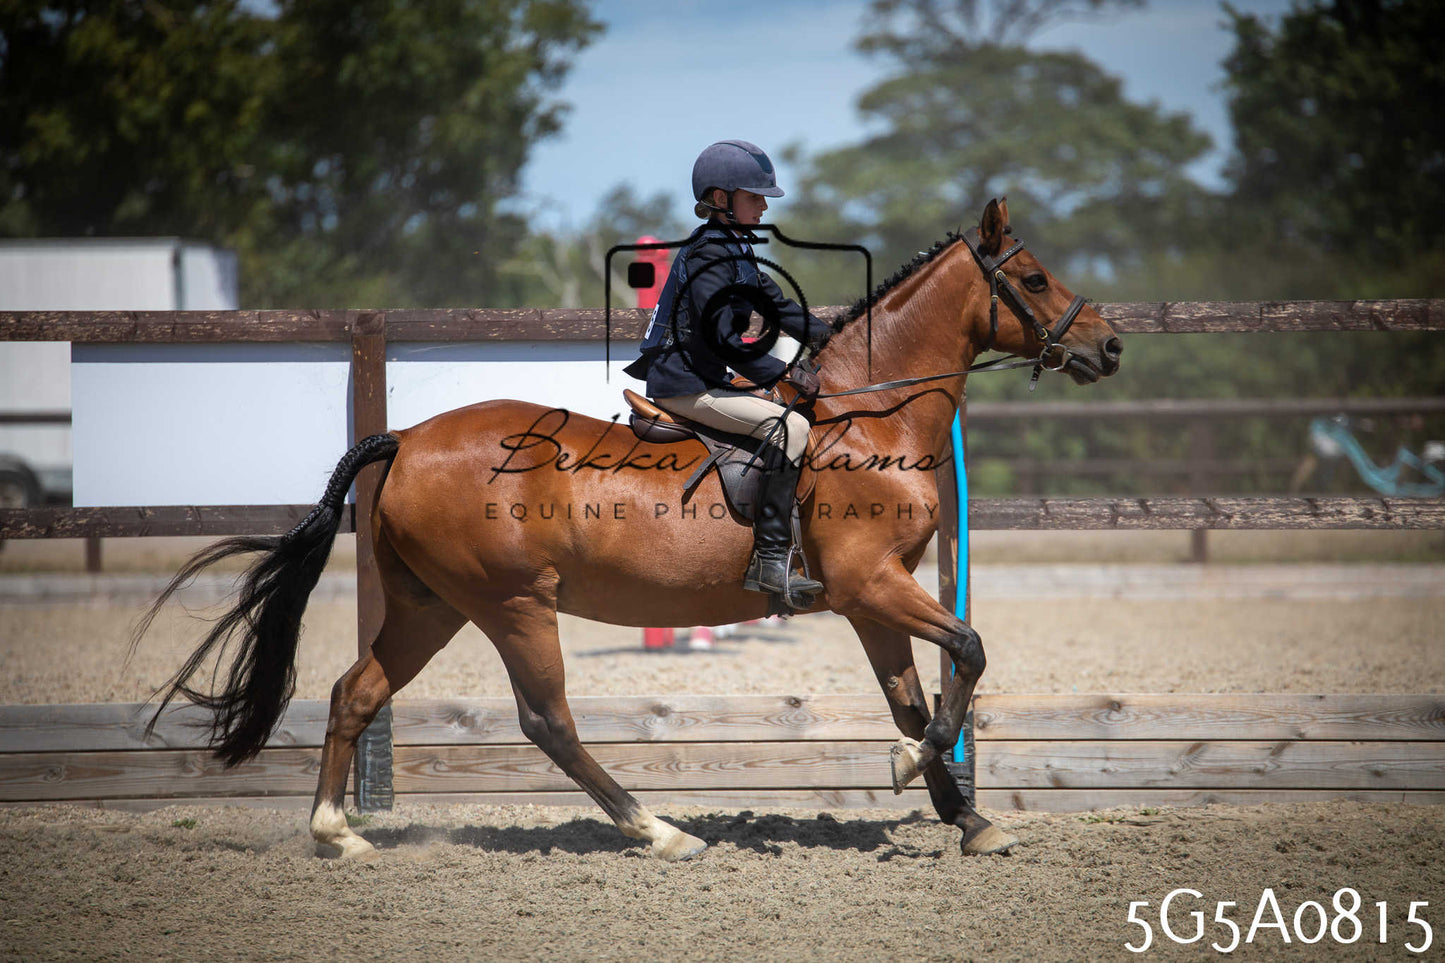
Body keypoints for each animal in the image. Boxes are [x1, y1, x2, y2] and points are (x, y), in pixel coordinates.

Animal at [137, 198, 1122, 861]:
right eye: (1034, 279)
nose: (1108, 346)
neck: (863, 414)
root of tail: (408, 436)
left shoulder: (869, 600)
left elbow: (914, 696)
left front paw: (966, 815)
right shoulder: (869, 583)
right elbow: (970, 649)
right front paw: (910, 769)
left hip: (432, 605)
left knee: (355, 692)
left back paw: (335, 834)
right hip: (514, 605)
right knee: (547, 720)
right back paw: (657, 830)